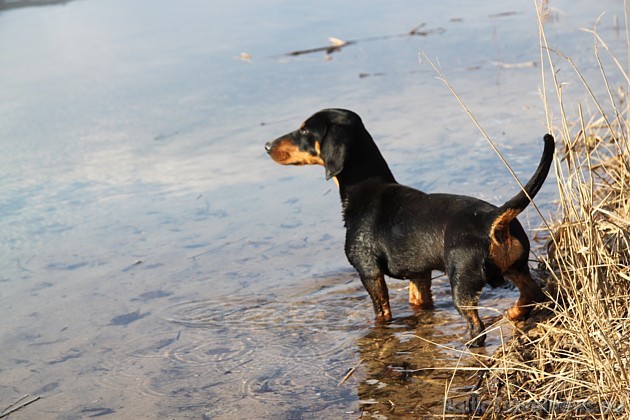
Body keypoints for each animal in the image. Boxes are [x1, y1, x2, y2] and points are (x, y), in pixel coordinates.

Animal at [264, 107, 556, 344]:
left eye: (304, 130)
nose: (266, 145)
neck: (365, 189)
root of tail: (494, 218)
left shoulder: (368, 271)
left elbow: (382, 312)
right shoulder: (419, 274)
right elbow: (419, 302)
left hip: (462, 284)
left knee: (478, 327)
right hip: (517, 267)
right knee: (534, 293)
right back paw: (513, 312)